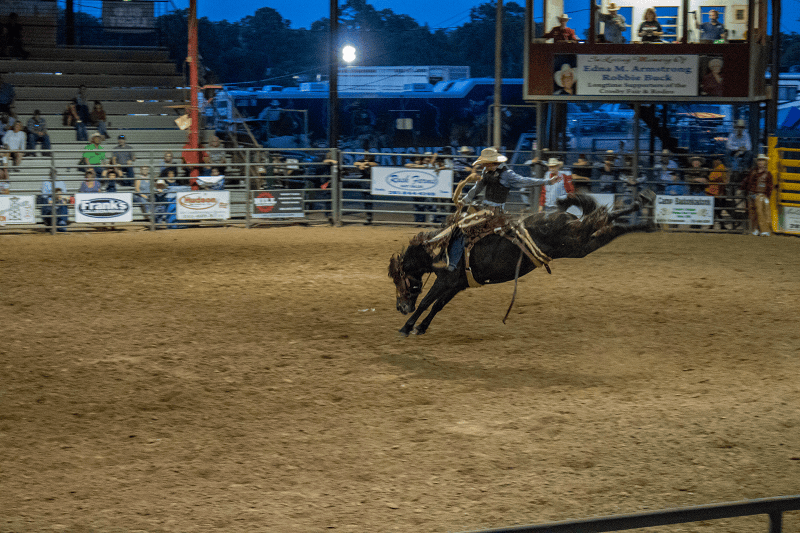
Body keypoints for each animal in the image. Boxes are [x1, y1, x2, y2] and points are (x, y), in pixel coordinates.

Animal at [388, 191, 656, 334]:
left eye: (398, 279)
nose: (400, 307)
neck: (440, 248)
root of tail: (566, 216)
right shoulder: (458, 285)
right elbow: (437, 306)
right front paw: (421, 328)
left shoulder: (445, 280)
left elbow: (426, 302)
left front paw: (406, 327)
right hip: (580, 243)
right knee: (607, 223)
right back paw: (645, 214)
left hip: (577, 239)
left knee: (602, 220)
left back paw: (644, 212)